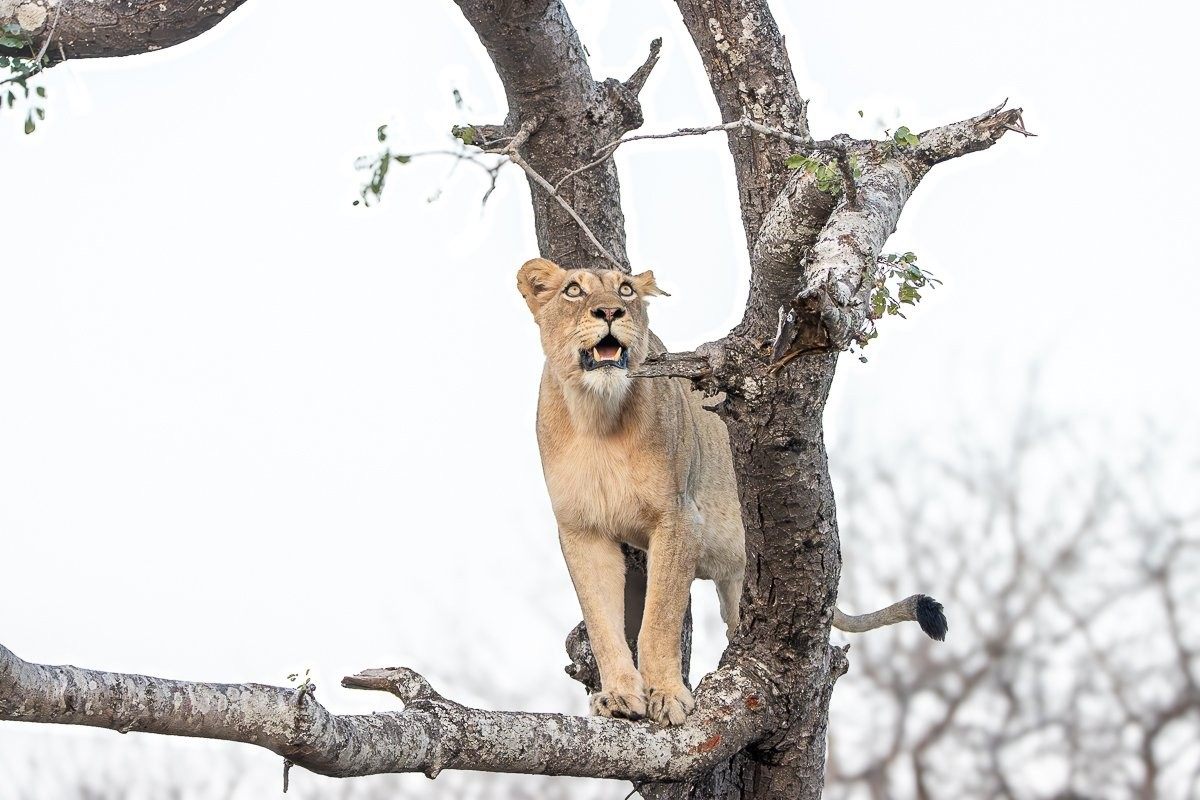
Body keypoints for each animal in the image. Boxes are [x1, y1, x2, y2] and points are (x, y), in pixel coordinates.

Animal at [517, 257, 947, 726]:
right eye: (574, 291)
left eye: (626, 290)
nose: (611, 311)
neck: (597, 417)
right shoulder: (582, 531)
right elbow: (601, 625)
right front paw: (618, 696)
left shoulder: (679, 517)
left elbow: (658, 622)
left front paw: (667, 696)